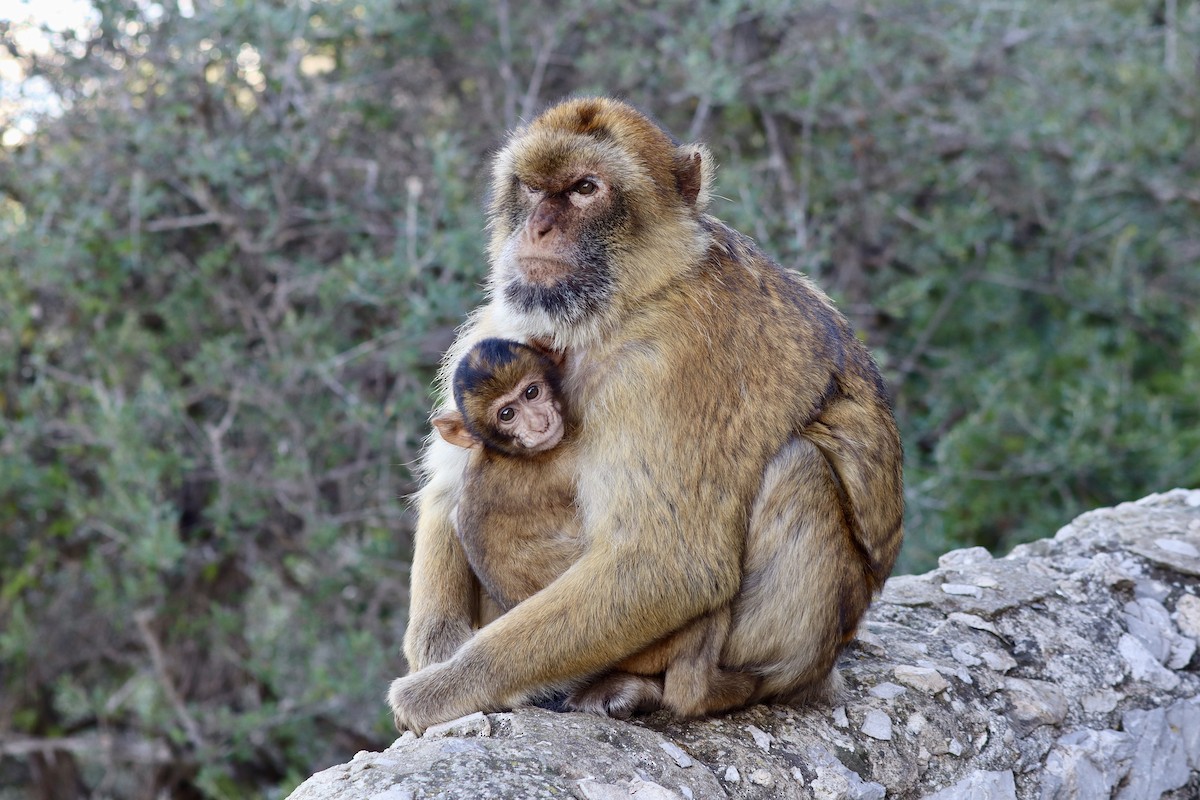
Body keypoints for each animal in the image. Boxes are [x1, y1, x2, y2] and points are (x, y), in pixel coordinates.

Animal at [431, 336, 758, 719]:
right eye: (506, 414)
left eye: (531, 392)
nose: (539, 422)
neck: (501, 454)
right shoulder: (562, 455)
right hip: (648, 649)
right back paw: (705, 691)